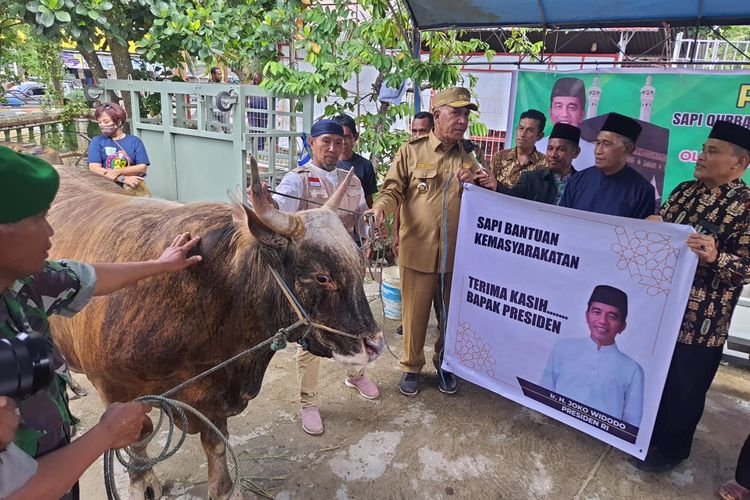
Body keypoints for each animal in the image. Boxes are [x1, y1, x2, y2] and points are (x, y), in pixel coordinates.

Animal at [48, 162, 388, 498]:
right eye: (322, 277)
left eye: (359, 264)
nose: (374, 345)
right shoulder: (115, 390)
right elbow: (140, 435)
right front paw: (142, 482)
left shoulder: (216, 389)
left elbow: (215, 442)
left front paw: (223, 488)